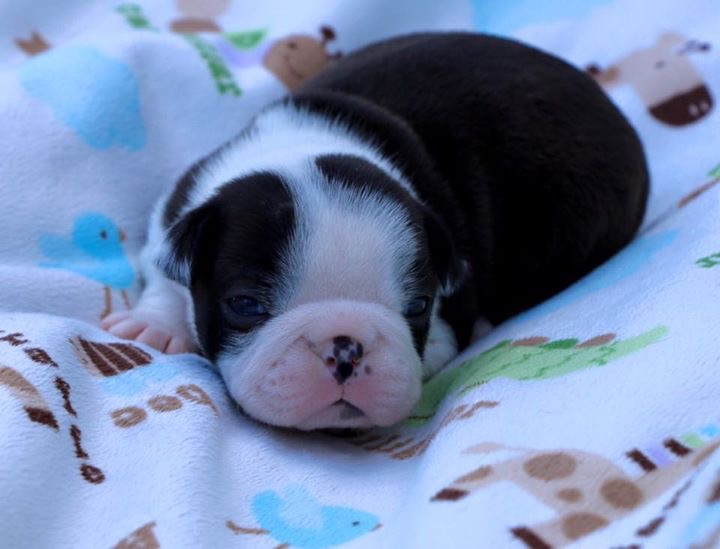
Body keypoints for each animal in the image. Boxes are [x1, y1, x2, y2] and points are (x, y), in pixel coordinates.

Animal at [102, 33, 649, 430]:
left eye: (418, 307)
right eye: (245, 305)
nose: (345, 346)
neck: (301, 145)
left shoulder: (447, 323)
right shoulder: (177, 207)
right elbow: (162, 271)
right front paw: (152, 326)